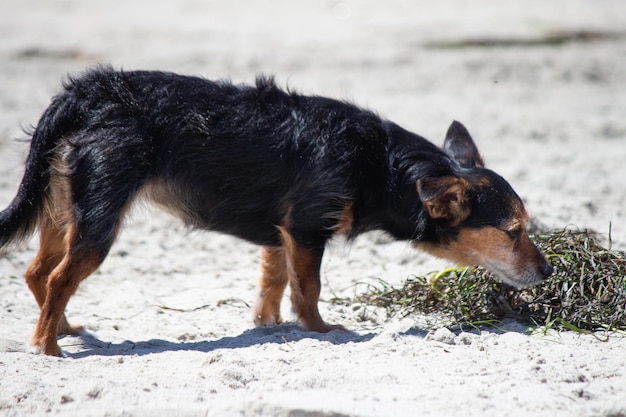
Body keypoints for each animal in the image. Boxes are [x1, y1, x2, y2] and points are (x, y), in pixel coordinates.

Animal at [0, 67, 548, 354]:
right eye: (513, 232)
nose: (547, 272)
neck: (382, 165)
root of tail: (86, 91)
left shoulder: (280, 235)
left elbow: (274, 284)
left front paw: (269, 324)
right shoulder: (306, 230)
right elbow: (309, 289)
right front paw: (320, 331)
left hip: (65, 209)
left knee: (36, 272)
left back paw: (62, 328)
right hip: (98, 221)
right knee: (58, 277)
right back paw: (46, 346)